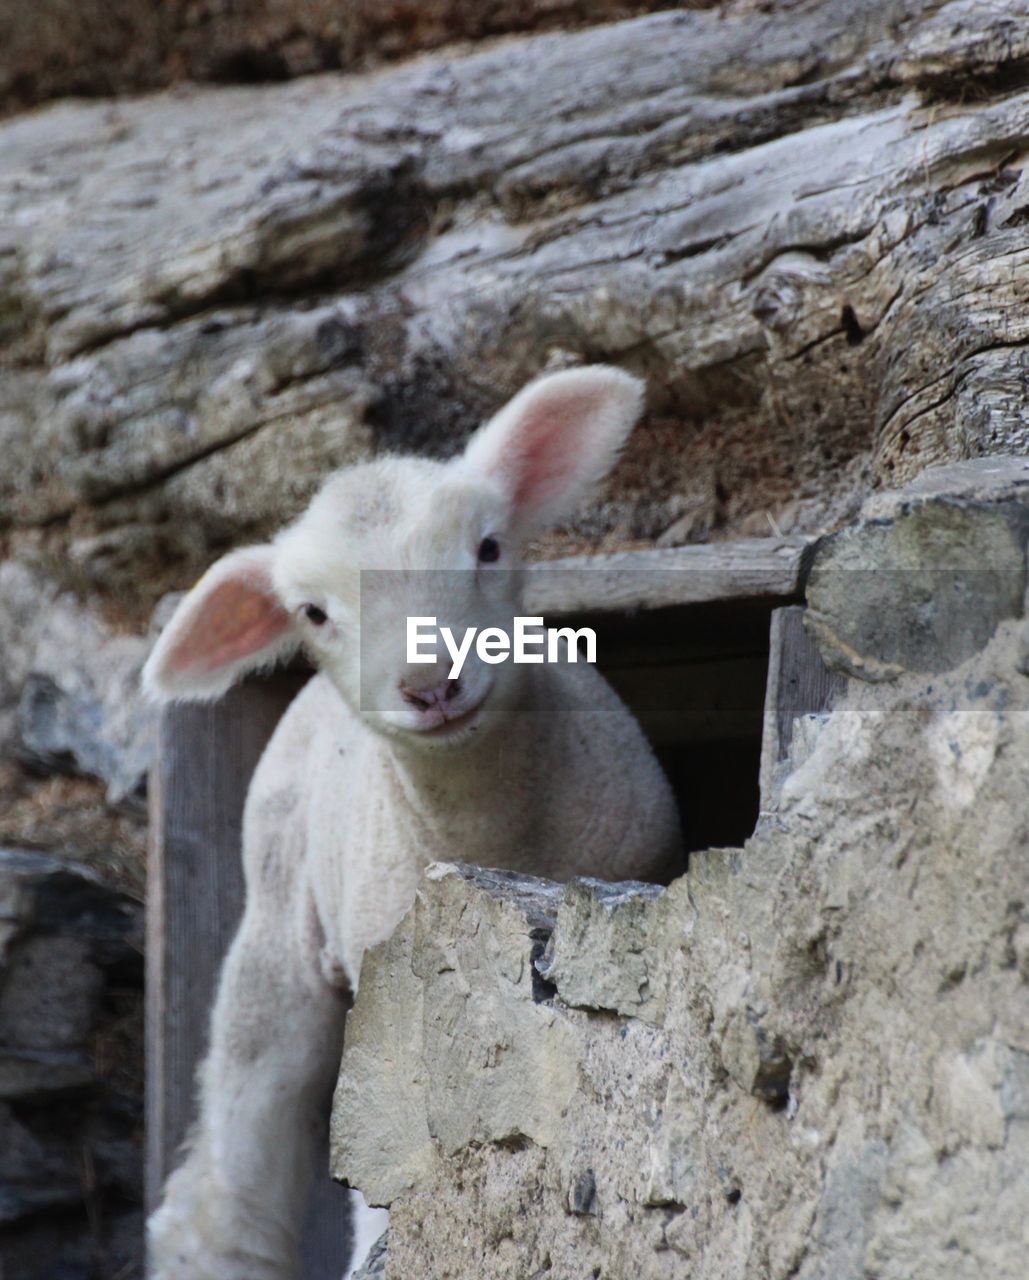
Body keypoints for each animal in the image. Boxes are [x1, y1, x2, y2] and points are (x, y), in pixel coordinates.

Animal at [138, 366, 680, 1274]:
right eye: (313, 612)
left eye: (489, 547)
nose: (430, 683)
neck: (488, 835)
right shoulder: (390, 1001)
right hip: (280, 926)